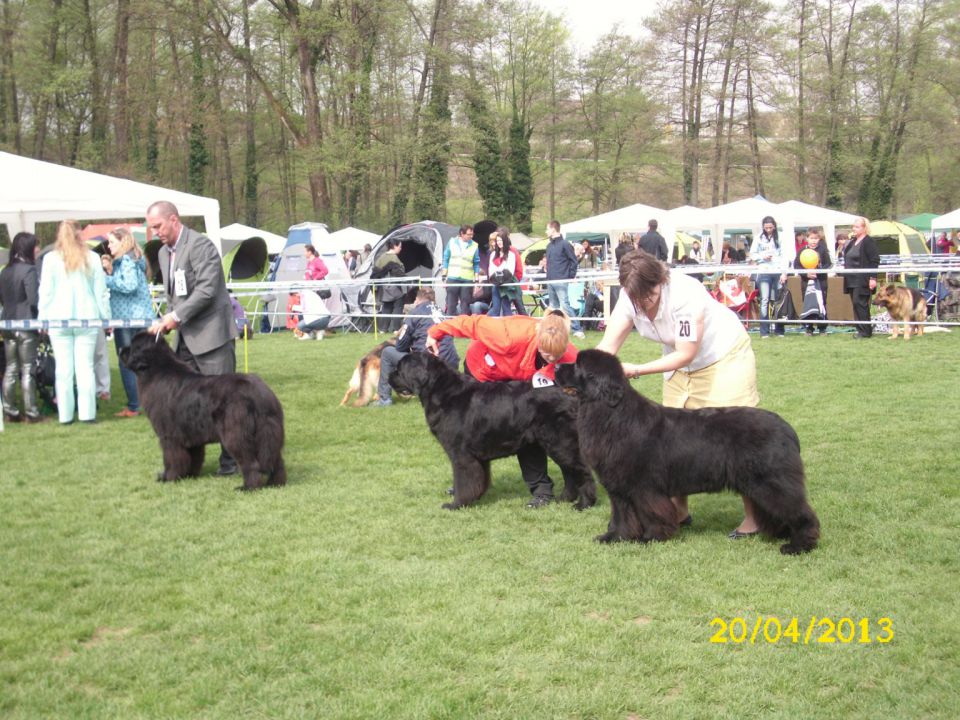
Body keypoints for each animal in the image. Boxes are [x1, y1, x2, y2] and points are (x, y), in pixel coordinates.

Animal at [120, 330, 286, 490]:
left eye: (132, 346)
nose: (121, 349)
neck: (156, 370)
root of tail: (259, 392)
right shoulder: (191, 434)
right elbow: (193, 457)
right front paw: (188, 475)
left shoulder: (168, 435)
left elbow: (171, 458)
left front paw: (168, 478)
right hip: (268, 432)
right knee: (275, 460)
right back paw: (275, 483)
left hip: (236, 434)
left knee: (250, 462)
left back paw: (248, 487)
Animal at [388, 350, 596, 510]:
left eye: (399, 369)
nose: (389, 376)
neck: (441, 392)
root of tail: (572, 395)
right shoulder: (476, 457)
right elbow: (479, 479)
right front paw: (476, 498)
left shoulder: (461, 455)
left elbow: (463, 481)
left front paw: (456, 504)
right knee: (569, 472)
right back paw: (564, 499)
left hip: (561, 443)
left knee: (582, 470)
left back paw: (584, 503)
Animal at [556, 348, 816, 552]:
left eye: (577, 364)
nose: (556, 366)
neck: (613, 413)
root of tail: (786, 428)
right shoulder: (618, 486)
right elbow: (621, 515)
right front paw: (614, 537)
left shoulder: (644, 486)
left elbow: (652, 513)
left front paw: (651, 538)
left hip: (772, 481)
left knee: (798, 509)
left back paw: (799, 545)